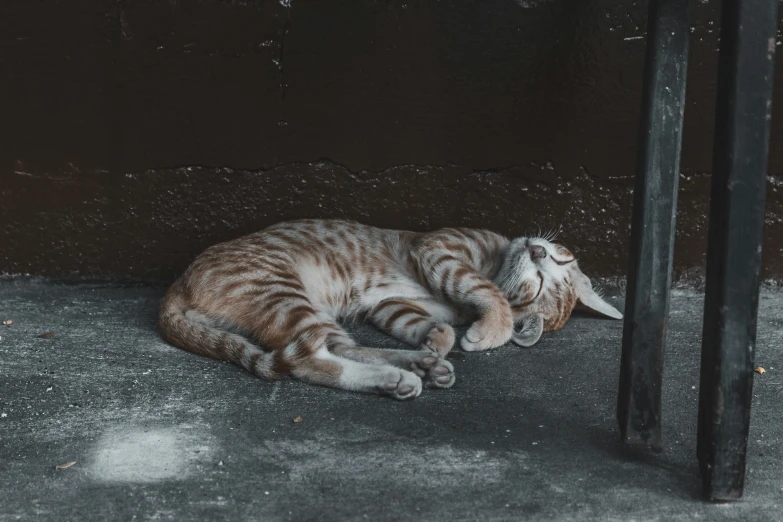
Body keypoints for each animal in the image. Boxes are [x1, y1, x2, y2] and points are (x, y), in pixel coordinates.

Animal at [161, 218, 624, 398]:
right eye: (560, 260)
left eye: (541, 282)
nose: (537, 250)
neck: (496, 256)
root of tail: (178, 285)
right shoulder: (438, 249)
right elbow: (484, 288)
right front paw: (496, 327)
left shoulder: (390, 305)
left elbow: (429, 322)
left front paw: (439, 339)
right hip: (283, 291)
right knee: (312, 358)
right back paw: (400, 373)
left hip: (295, 304)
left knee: (331, 350)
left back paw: (413, 366)